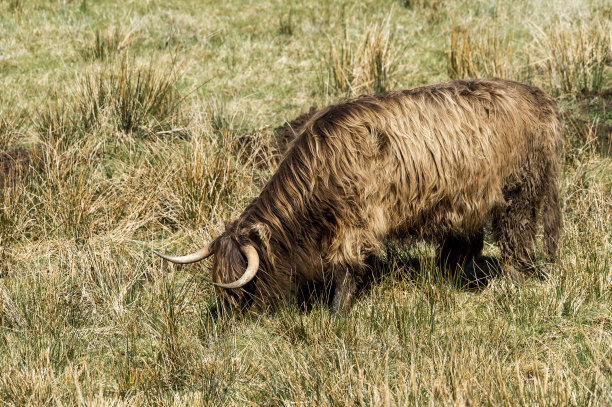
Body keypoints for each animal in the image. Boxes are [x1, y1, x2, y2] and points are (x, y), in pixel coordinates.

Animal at [155, 78, 560, 310]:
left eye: (244, 289)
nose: (235, 323)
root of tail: (540, 97)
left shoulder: (354, 223)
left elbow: (346, 268)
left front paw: (337, 312)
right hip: (463, 201)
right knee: (466, 243)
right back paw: (448, 278)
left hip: (518, 192)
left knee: (515, 238)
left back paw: (509, 284)